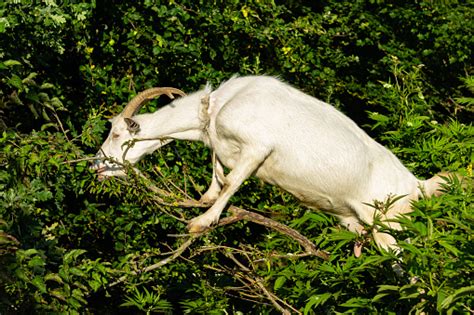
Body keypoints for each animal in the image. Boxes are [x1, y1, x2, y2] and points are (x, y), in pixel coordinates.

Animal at [93, 75, 452, 253]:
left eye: (116, 133)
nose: (96, 167)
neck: (217, 106)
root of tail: (416, 186)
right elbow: (218, 167)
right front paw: (206, 196)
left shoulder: (258, 148)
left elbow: (232, 184)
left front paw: (201, 222)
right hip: (360, 223)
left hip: (391, 224)